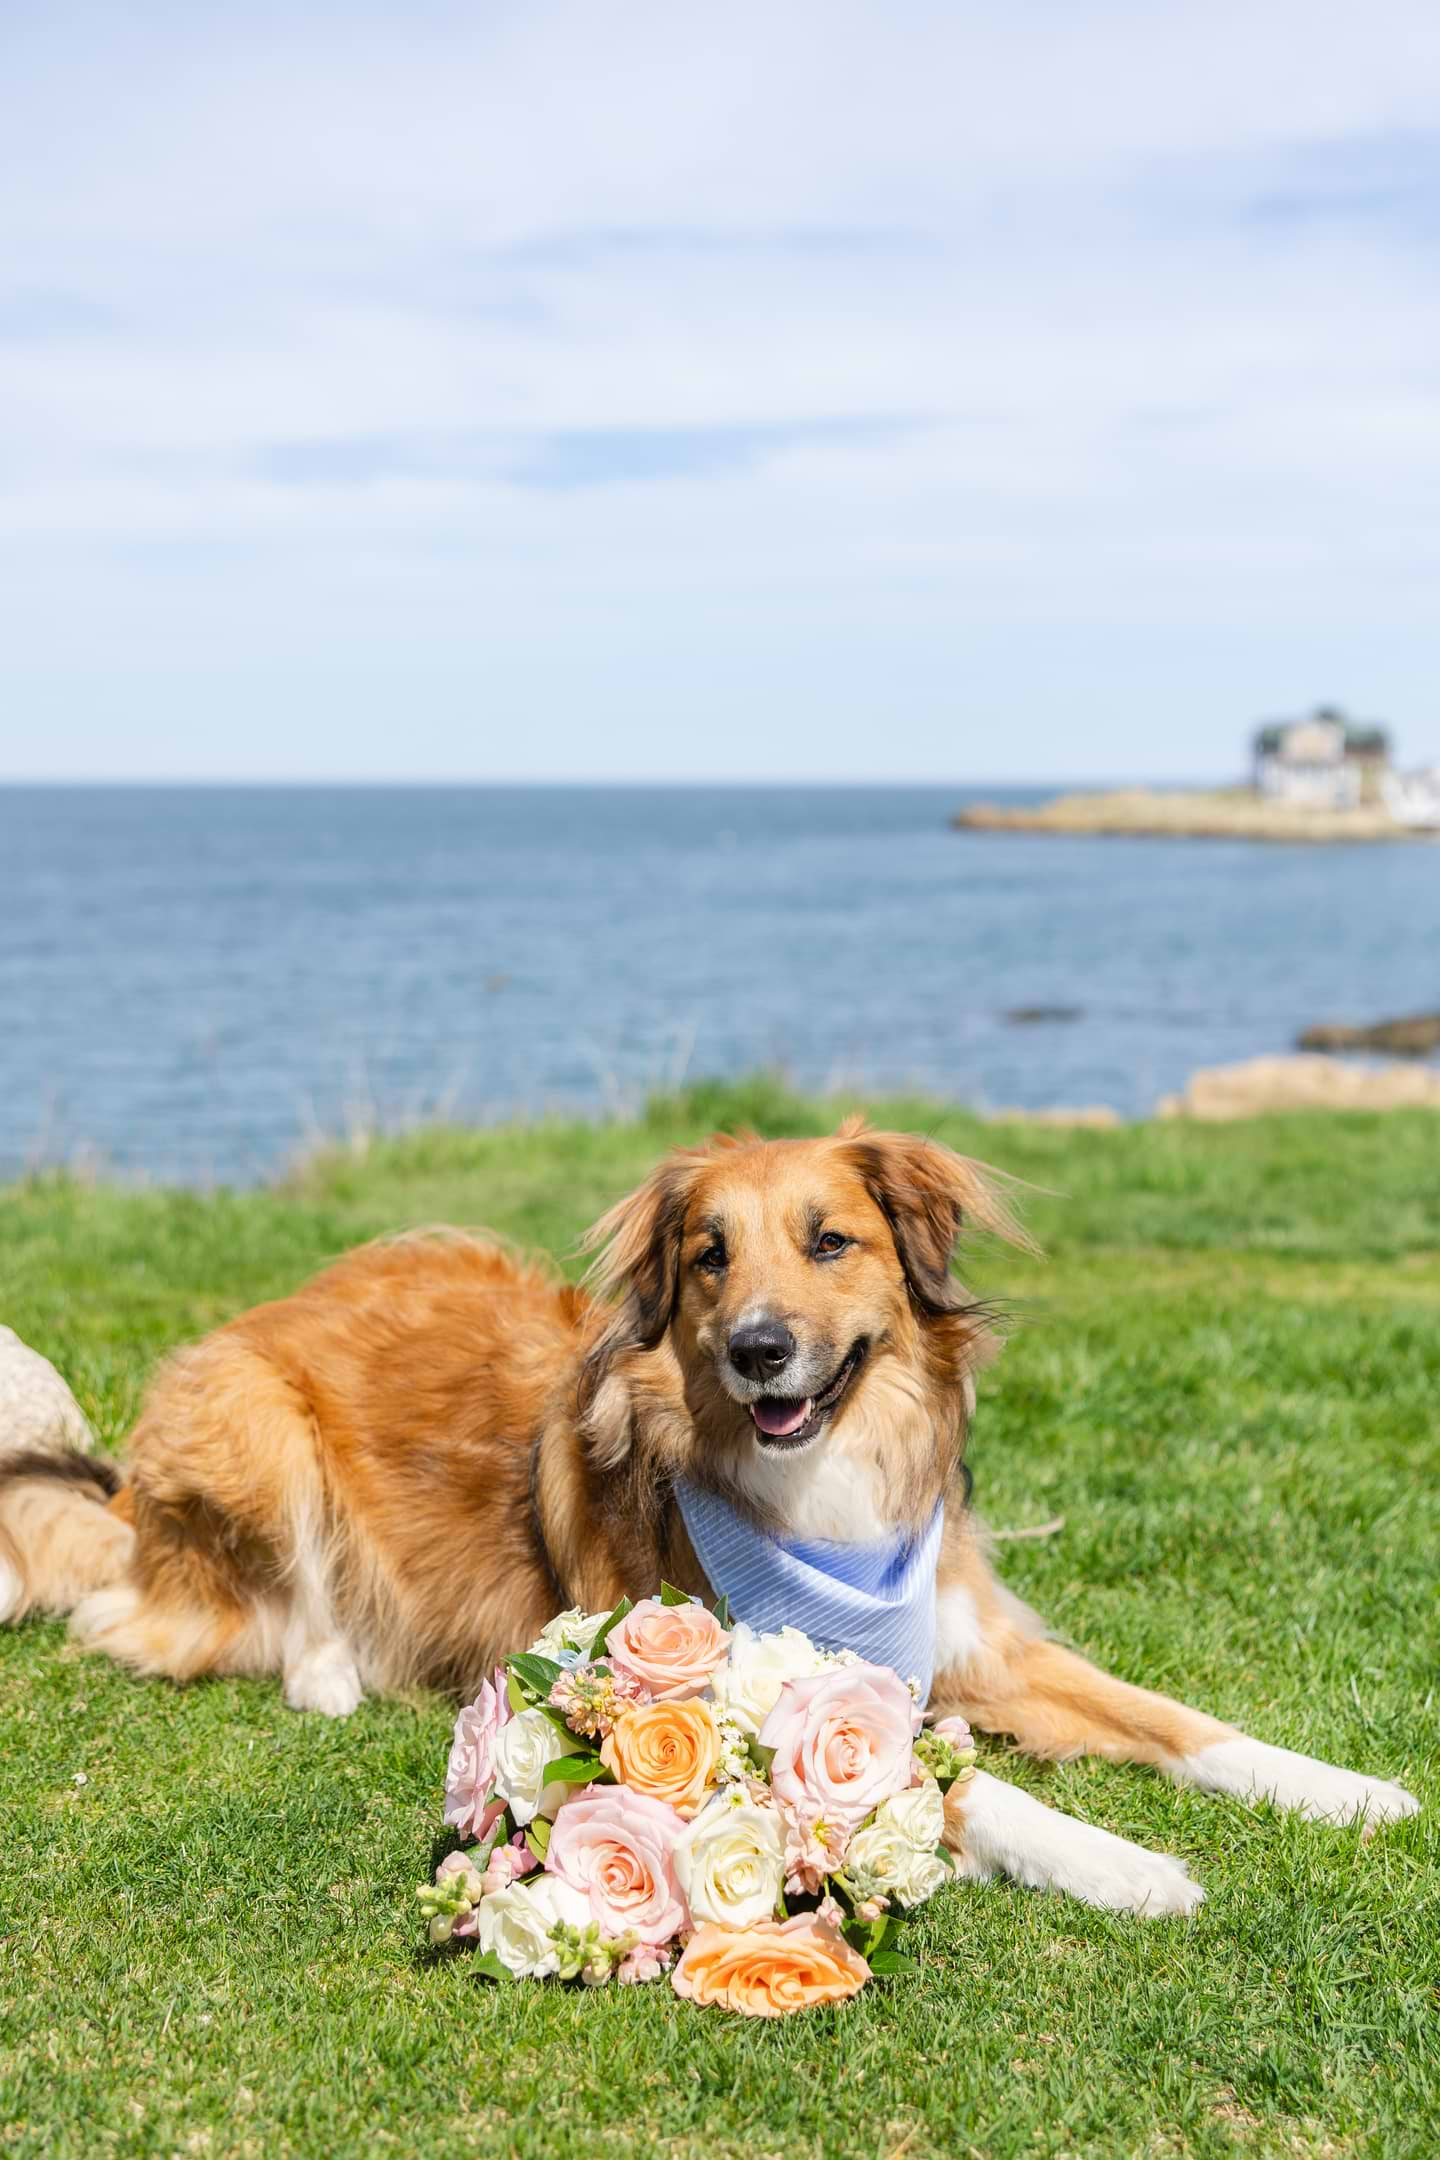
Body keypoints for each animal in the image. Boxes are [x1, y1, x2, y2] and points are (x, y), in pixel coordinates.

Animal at [0, 1123, 1416, 1918]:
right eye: (710, 1255)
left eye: (832, 1241)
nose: (756, 1351)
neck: (824, 1498)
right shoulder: (733, 1706)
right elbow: (965, 1789)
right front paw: (1133, 1869)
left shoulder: (981, 1642)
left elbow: (1182, 1720)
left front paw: (1347, 1788)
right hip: (247, 1419)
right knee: (228, 1618)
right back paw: (335, 1672)